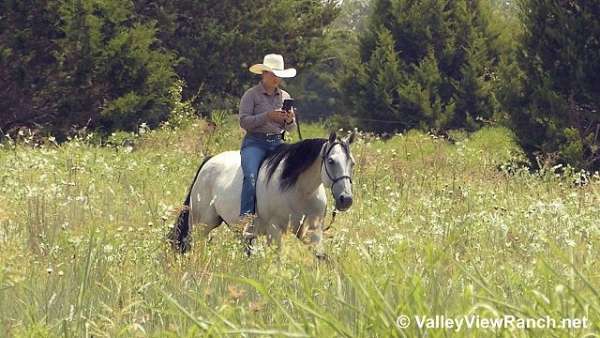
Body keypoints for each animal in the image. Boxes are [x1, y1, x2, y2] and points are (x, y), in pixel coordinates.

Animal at [168, 130, 356, 256]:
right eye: (331, 161)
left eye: (352, 163)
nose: (345, 199)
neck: (300, 191)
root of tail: (209, 161)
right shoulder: (275, 231)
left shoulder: (313, 232)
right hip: (201, 224)